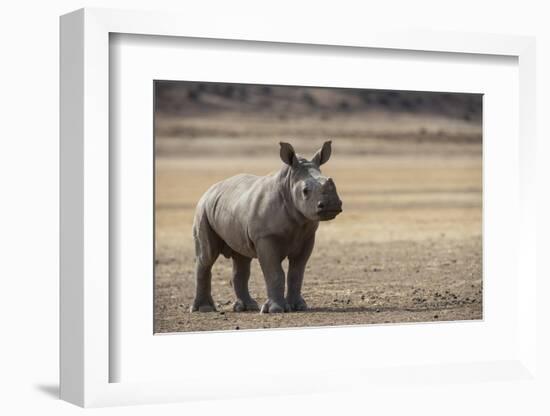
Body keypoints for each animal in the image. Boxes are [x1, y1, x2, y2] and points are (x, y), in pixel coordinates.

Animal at [192, 141, 342, 314]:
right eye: (305, 191)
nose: (332, 204)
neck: (288, 184)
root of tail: (210, 189)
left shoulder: (307, 237)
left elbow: (297, 272)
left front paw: (298, 306)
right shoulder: (265, 237)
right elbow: (275, 272)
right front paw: (275, 309)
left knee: (242, 259)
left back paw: (247, 307)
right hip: (203, 209)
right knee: (207, 257)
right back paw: (204, 309)